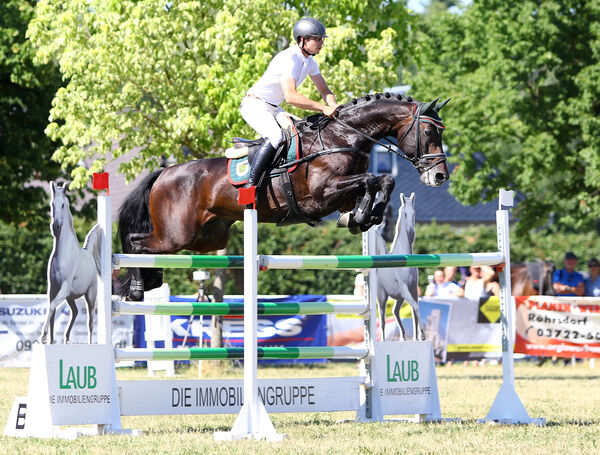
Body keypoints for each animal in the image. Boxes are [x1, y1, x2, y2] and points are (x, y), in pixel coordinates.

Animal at [40, 183, 102, 344]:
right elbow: (52, 310)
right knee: (75, 312)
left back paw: (89, 342)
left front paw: (43, 336)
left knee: (90, 322)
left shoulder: (64, 287)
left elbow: (52, 306)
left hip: (90, 296)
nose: (55, 228)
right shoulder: (53, 289)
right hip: (70, 297)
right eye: (52, 204)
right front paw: (50, 341)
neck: (63, 255)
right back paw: (66, 338)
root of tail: (89, 253)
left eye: (63, 205)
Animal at [118, 92, 450, 302]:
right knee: (136, 242)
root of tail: (164, 172)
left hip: (208, 238)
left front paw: (363, 217)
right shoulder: (322, 194)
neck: (342, 138)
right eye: (429, 134)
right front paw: (361, 216)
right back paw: (136, 287)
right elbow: (371, 179)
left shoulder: (341, 194)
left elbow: (384, 180)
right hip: (177, 235)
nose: (439, 176)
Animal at [372, 193, 424, 342]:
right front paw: (423, 333)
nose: (411, 234)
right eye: (404, 214)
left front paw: (417, 338)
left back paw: (403, 336)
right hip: (382, 297)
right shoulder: (405, 290)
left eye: (413, 214)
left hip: (399, 298)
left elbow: (415, 311)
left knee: (395, 312)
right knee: (383, 319)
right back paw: (383, 340)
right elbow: (415, 307)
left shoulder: (413, 290)